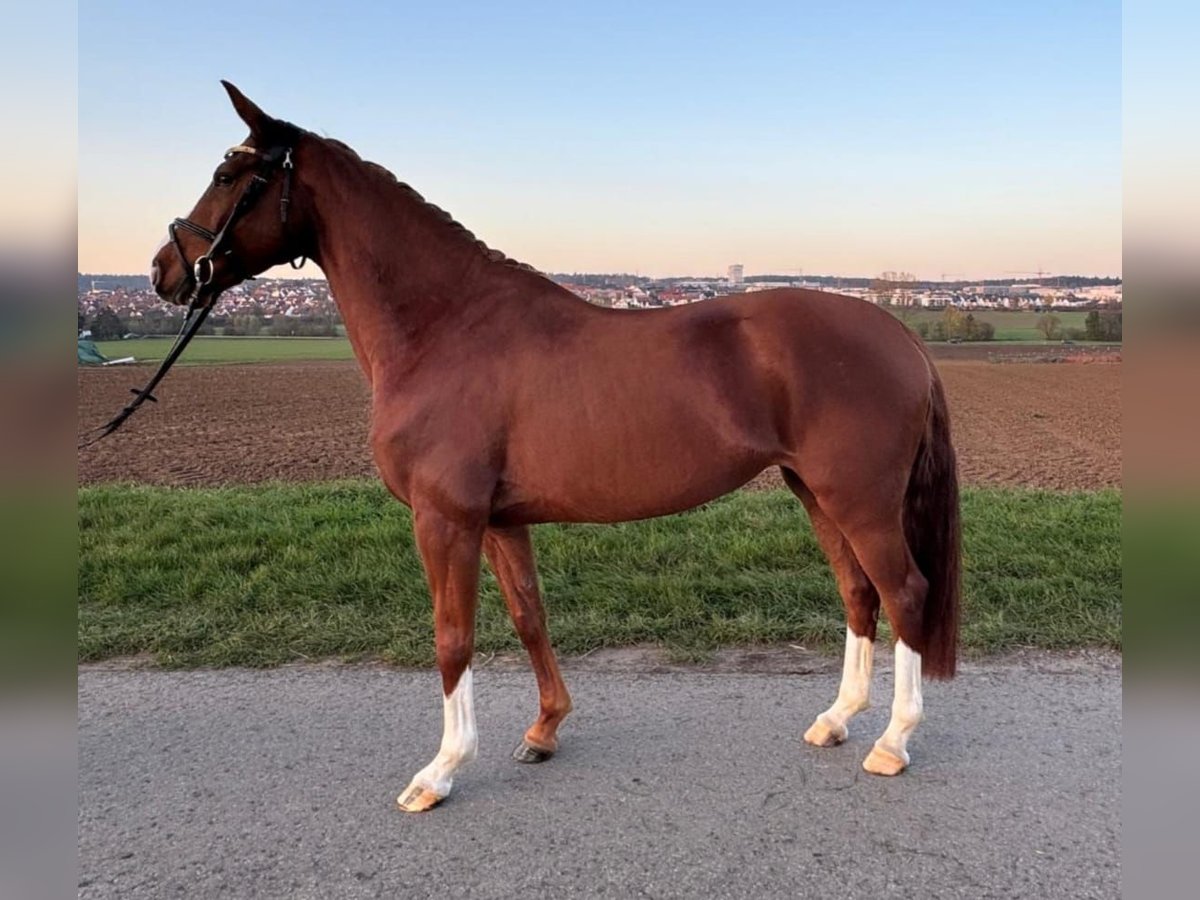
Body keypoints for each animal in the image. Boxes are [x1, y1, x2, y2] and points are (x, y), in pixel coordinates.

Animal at [150, 86, 960, 816]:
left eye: (228, 175)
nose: (165, 270)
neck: (446, 327)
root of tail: (900, 332)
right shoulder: (501, 521)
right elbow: (528, 616)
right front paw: (543, 731)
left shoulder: (445, 519)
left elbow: (452, 639)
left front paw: (441, 771)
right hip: (816, 492)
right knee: (859, 594)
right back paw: (836, 721)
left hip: (859, 500)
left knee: (904, 592)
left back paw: (892, 742)